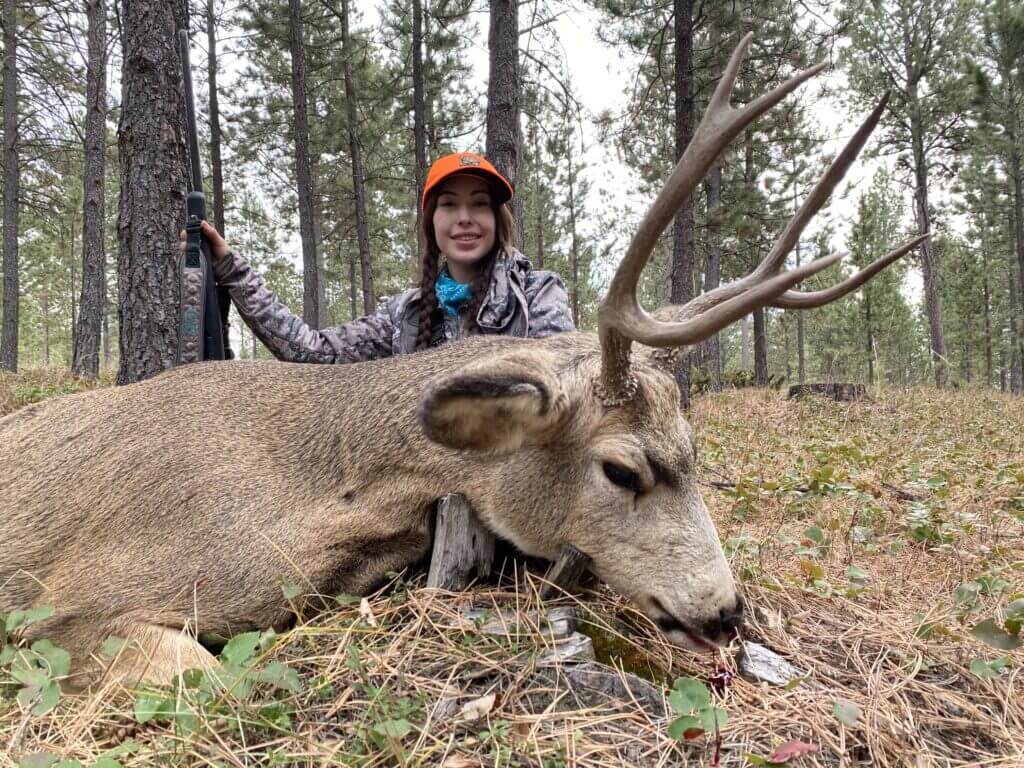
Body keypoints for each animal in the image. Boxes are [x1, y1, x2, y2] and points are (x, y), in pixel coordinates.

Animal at [0, 36, 924, 689]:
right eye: (622, 470)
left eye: (697, 455)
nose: (727, 611)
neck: (329, 490)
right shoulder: (62, 606)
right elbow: (216, 680)